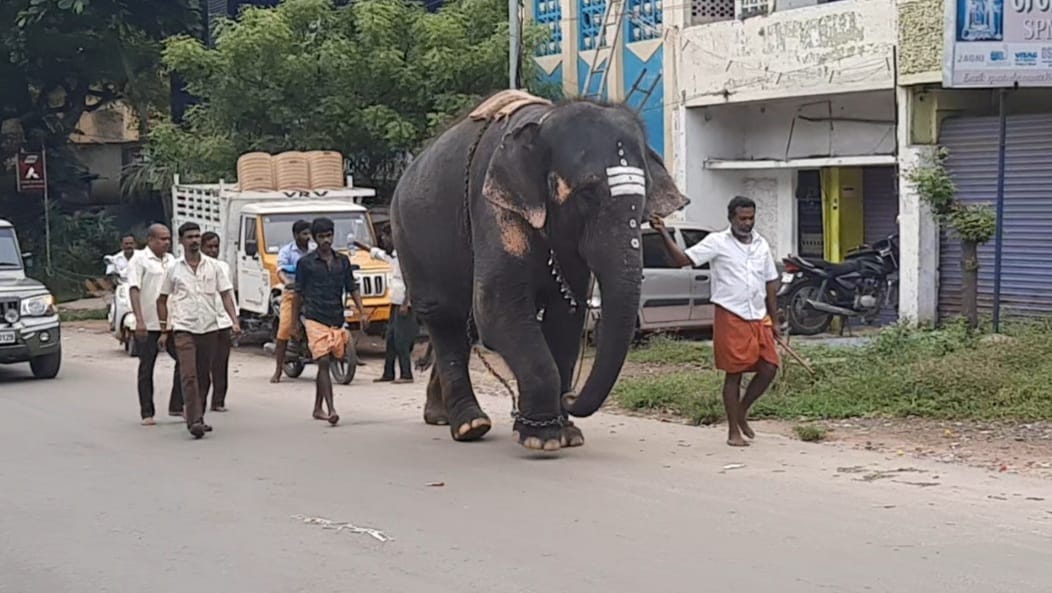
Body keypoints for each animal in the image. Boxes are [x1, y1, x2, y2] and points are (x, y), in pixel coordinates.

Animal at [391, 87, 685, 452]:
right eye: (587, 194)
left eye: (642, 199)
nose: (571, 397)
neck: (545, 120)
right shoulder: (493, 207)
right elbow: (496, 306)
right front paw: (542, 438)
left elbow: (566, 315)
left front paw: (567, 433)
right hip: (410, 241)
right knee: (444, 320)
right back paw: (470, 426)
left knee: (461, 326)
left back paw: (441, 417)